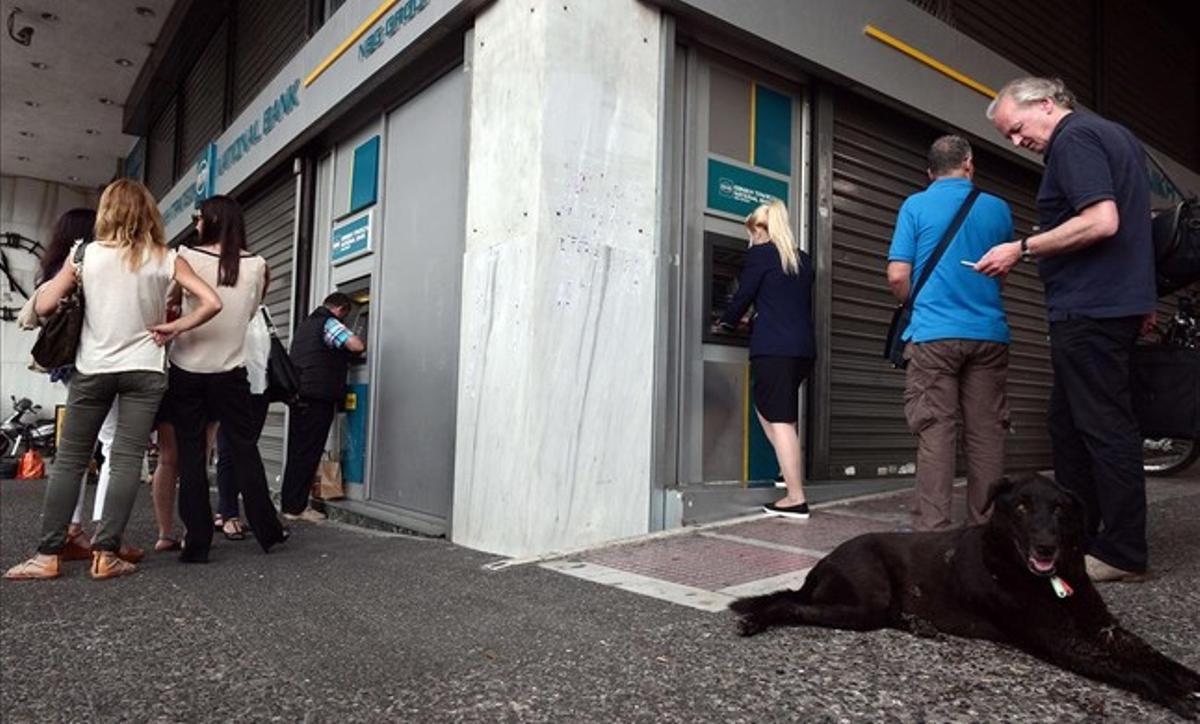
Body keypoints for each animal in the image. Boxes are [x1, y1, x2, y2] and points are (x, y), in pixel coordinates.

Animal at [729, 473, 1200, 715]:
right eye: (1022, 507)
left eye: (1061, 509)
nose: (1046, 547)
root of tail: (824, 560)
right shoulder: (1062, 642)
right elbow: (1131, 671)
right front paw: (1176, 697)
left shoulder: (1105, 628)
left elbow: (1157, 658)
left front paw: (1189, 681)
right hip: (863, 603)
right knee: (790, 604)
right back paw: (754, 620)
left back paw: (917, 622)